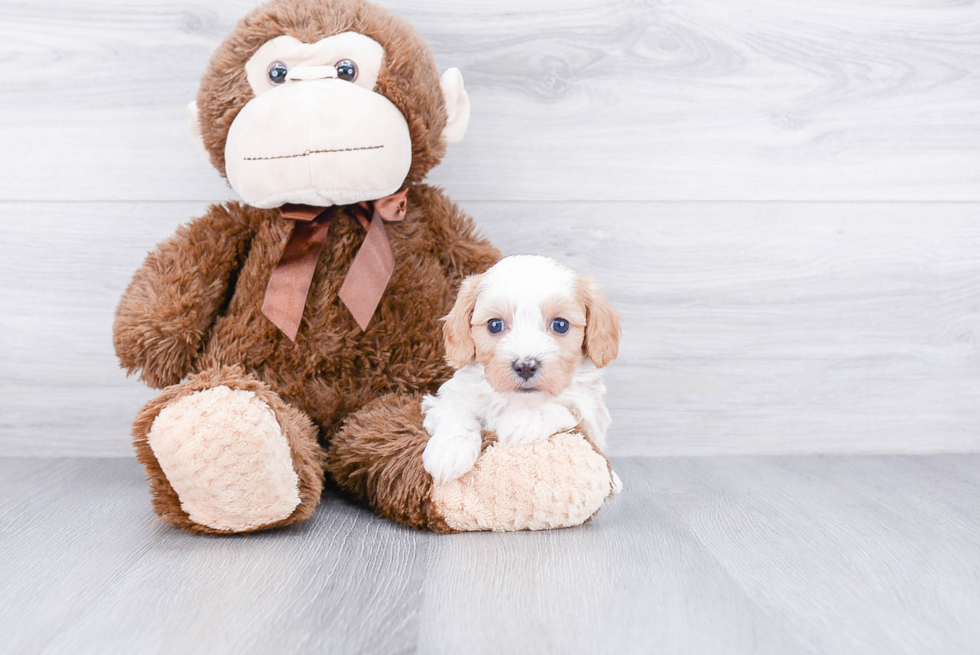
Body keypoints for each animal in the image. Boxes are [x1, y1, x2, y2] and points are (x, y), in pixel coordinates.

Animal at [420, 256, 620, 492]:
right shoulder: (449, 397)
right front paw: (449, 452)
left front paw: (520, 421)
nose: (525, 366)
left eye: (560, 325)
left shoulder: (591, 413)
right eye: (494, 325)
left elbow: (563, 407)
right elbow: (454, 411)